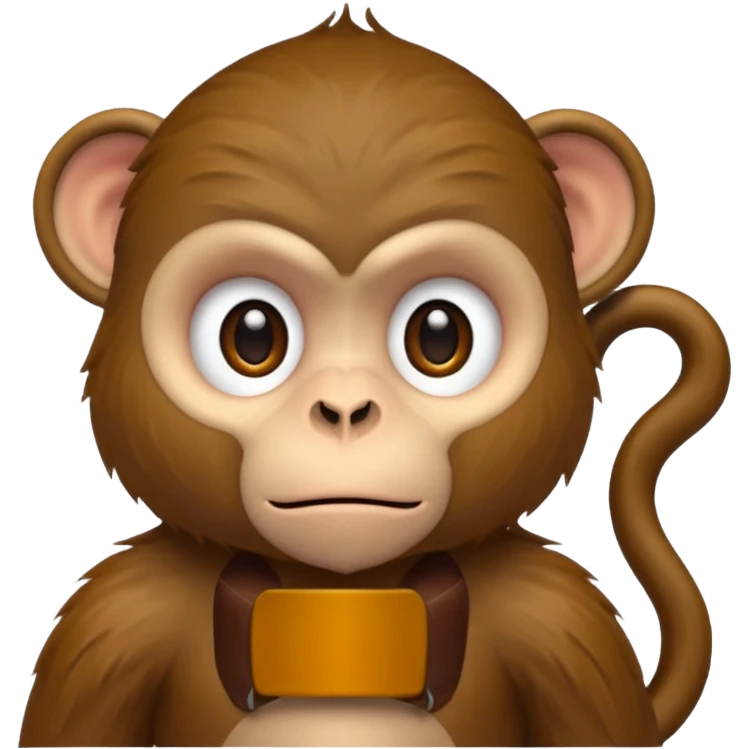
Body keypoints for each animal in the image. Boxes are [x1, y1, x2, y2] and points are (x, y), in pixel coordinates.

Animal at [19, 5, 729, 748]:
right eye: (251, 335)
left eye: (440, 335)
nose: (344, 409)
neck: (342, 598)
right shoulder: (113, 625)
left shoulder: (562, 627)